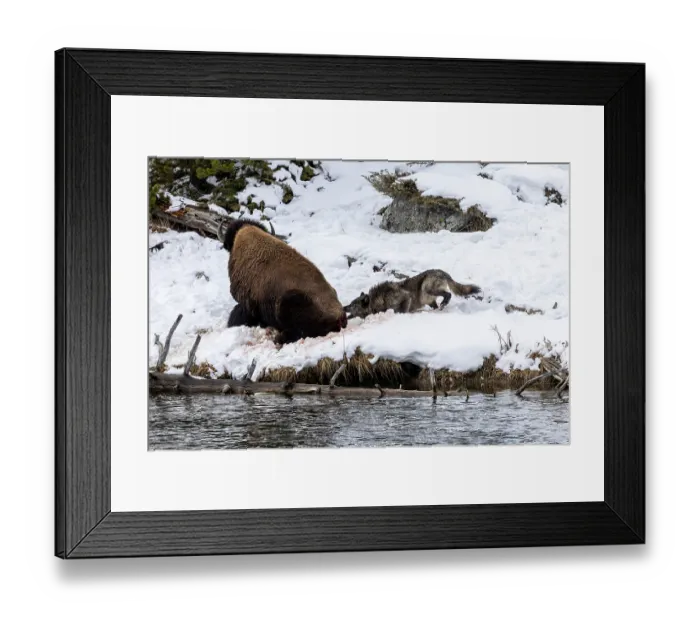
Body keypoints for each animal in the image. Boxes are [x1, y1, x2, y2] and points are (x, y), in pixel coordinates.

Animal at [344, 269, 481, 319]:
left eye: (353, 305)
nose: (343, 307)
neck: (377, 299)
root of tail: (442, 271)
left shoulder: (406, 297)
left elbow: (401, 311)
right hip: (428, 300)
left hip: (427, 289)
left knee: (448, 294)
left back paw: (444, 304)